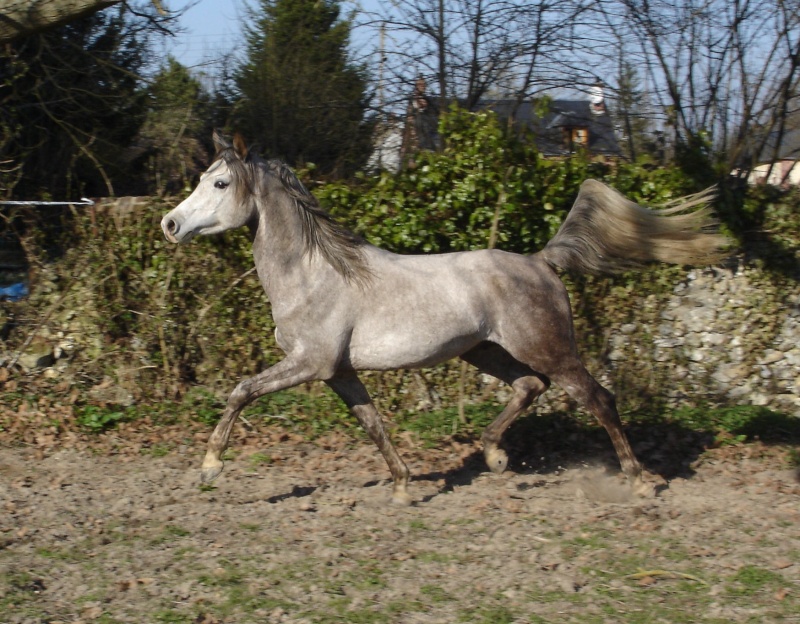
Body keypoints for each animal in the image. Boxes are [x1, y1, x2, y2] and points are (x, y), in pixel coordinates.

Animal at [159, 134, 728, 504]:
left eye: (220, 183)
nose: (170, 224)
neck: (313, 273)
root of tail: (541, 261)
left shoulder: (309, 363)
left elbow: (241, 391)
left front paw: (210, 467)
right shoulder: (339, 372)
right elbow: (373, 423)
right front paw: (403, 486)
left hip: (549, 349)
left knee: (598, 398)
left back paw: (639, 481)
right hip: (486, 351)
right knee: (529, 386)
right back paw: (495, 456)